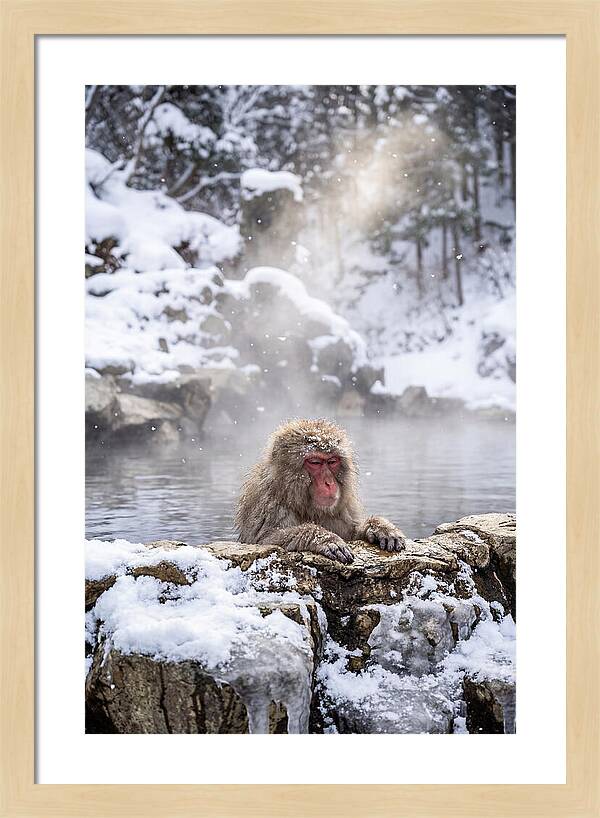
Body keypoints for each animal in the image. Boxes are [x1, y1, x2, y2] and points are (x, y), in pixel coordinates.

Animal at [235, 418, 407, 564]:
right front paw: (324, 538)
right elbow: (265, 540)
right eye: (315, 462)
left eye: (332, 461)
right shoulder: (267, 504)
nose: (329, 483)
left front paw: (379, 527)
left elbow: (352, 533)